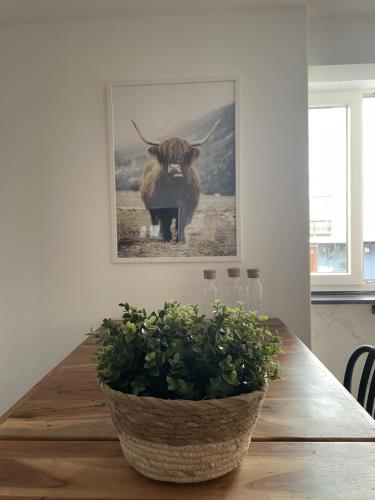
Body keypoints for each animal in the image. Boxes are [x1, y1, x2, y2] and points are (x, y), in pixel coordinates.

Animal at [109, 79, 238, 262]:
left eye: (184, 155)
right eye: (165, 154)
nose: (175, 167)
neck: (175, 190)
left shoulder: (188, 205)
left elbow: (181, 222)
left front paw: (181, 240)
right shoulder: (161, 204)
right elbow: (166, 219)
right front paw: (168, 238)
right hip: (150, 206)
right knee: (156, 220)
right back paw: (159, 234)